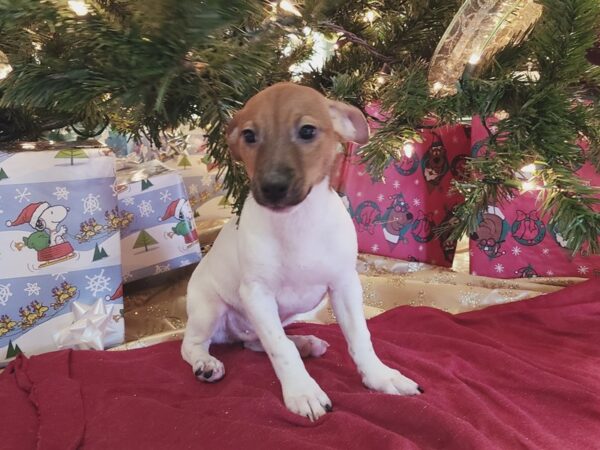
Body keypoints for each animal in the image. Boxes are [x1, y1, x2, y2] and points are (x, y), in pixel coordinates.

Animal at [183, 82, 422, 420]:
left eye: (307, 131)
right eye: (249, 136)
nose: (272, 187)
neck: (296, 222)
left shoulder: (345, 285)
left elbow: (360, 337)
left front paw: (380, 376)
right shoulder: (257, 295)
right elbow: (279, 350)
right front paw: (302, 391)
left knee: (254, 342)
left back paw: (304, 342)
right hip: (210, 309)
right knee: (193, 344)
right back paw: (206, 363)